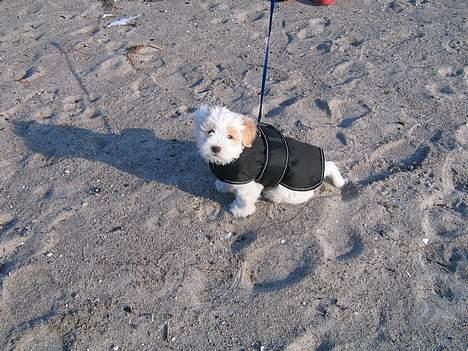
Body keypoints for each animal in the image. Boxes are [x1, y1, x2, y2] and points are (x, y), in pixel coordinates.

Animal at [192, 105, 346, 217]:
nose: (215, 148)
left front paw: (240, 211)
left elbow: (244, 199)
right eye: (210, 132)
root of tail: (323, 169)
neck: (237, 155)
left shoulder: (249, 185)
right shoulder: (233, 175)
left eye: (230, 136)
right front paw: (223, 186)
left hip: (287, 190)